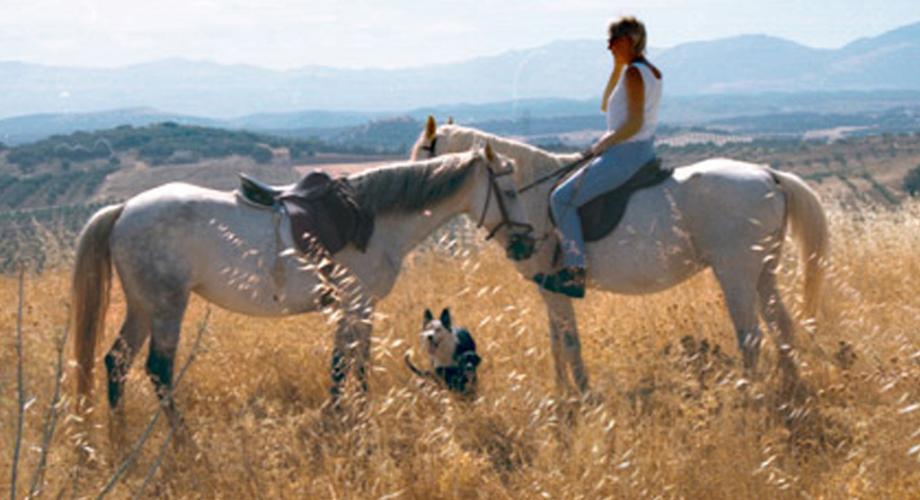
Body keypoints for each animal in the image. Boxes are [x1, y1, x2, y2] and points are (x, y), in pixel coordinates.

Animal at [73, 144, 540, 418]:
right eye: (509, 192)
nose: (526, 243)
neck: (376, 218)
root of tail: (124, 209)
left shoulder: (352, 307)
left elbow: (344, 362)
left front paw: (342, 414)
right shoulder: (360, 304)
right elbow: (354, 364)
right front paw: (354, 417)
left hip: (142, 306)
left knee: (115, 363)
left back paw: (118, 437)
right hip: (167, 307)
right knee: (157, 370)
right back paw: (180, 440)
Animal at [414, 118, 832, 394]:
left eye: (424, 154)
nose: (416, 202)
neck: (526, 197)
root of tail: (768, 174)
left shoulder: (555, 287)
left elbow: (569, 342)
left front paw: (582, 396)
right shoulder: (548, 288)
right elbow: (556, 342)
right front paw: (560, 395)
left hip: (736, 274)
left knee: (751, 336)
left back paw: (749, 392)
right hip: (763, 271)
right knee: (782, 326)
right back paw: (790, 386)